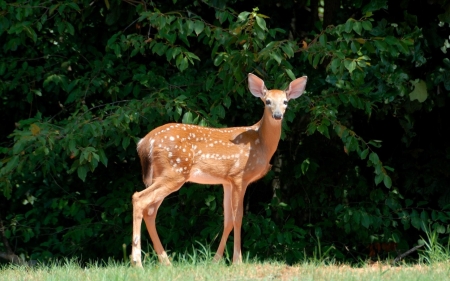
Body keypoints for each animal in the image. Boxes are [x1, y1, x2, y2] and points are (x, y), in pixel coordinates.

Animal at [130, 71, 306, 264]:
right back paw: (137, 262)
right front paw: (237, 261)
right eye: (267, 101)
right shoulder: (239, 176)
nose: (277, 115)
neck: (261, 144)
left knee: (150, 211)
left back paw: (165, 262)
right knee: (139, 199)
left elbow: (227, 220)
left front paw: (216, 260)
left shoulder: (226, 181)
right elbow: (238, 217)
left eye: (285, 101)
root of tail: (144, 142)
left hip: (163, 173)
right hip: (175, 171)